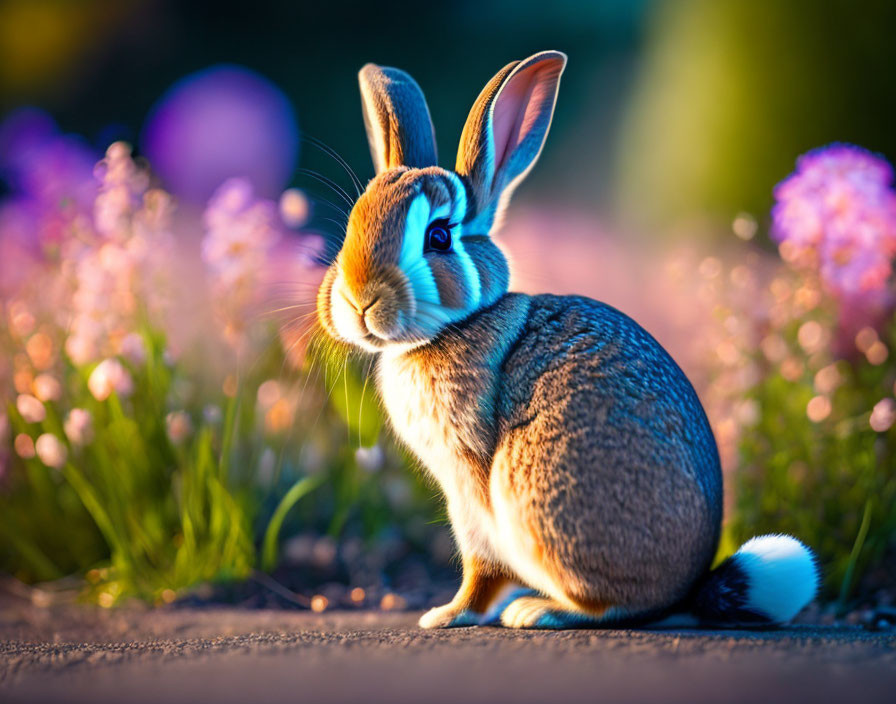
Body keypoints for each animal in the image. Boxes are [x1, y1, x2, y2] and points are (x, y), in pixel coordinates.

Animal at [316, 52, 820, 628]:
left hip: (537, 500)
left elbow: (483, 571)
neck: (456, 325)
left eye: (438, 236)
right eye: (353, 221)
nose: (359, 300)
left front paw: (446, 615)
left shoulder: (472, 490)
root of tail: (686, 592)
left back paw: (537, 611)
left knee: (612, 605)